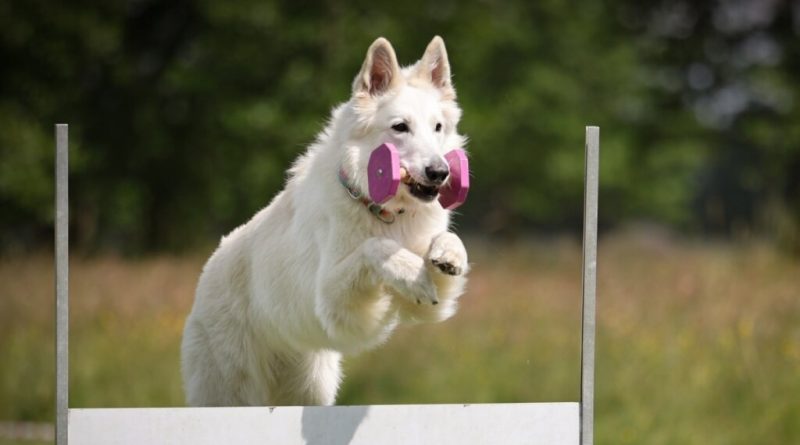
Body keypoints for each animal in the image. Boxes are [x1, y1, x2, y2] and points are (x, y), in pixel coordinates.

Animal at [181, 36, 468, 404]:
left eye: (438, 128)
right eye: (400, 127)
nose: (440, 172)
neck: (385, 214)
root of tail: (205, 275)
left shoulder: (427, 308)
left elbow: (446, 244)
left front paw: (448, 255)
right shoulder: (336, 304)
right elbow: (374, 248)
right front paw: (411, 273)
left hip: (311, 388)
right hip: (233, 394)